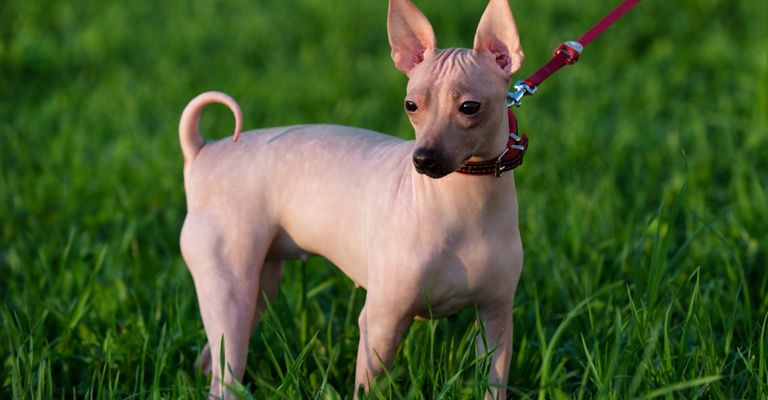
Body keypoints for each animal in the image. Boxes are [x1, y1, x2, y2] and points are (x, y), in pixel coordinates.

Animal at [179, 0, 524, 396]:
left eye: (469, 107)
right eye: (410, 105)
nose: (423, 159)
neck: (465, 205)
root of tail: (203, 152)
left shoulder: (496, 316)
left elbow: (494, 382)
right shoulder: (380, 322)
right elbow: (368, 387)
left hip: (259, 287)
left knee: (212, 356)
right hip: (229, 288)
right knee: (225, 369)